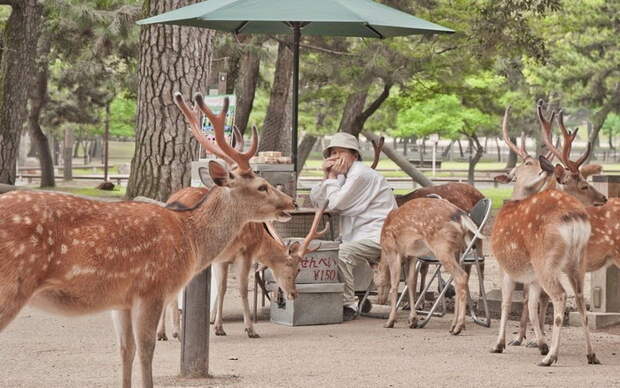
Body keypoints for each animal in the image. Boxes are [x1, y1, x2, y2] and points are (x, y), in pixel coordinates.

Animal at [0, 91, 296, 388]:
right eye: (261, 186)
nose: (291, 202)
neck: (190, 237)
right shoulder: (152, 287)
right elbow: (146, 349)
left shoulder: (121, 300)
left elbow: (125, 350)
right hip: (11, 287)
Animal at [490, 105, 600, 366]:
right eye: (583, 185)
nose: (603, 198)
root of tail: (574, 219)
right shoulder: (530, 276)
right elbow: (530, 304)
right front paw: (536, 342)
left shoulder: (505, 265)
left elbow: (507, 304)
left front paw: (500, 344)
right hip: (577, 262)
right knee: (579, 299)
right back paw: (591, 354)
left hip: (546, 261)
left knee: (560, 297)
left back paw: (551, 357)